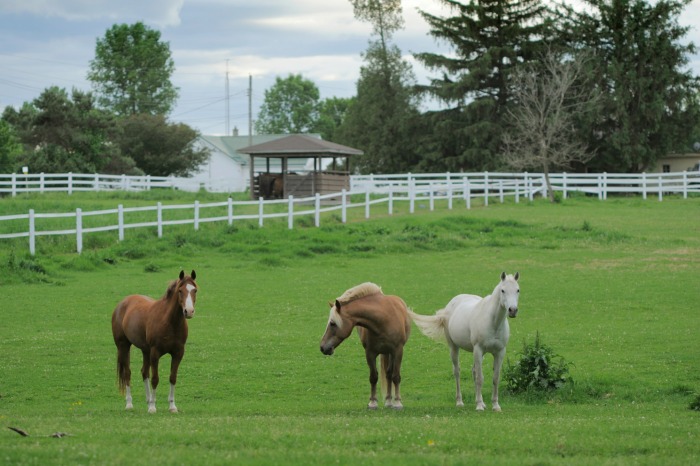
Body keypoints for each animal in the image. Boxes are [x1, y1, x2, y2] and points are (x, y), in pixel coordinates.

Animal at [110, 272, 197, 414]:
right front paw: (152, 407)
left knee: (144, 372)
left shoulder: (178, 353)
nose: (188, 311)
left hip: (145, 350)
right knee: (127, 372)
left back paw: (148, 399)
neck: (169, 322)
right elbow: (155, 379)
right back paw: (129, 404)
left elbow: (172, 377)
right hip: (123, 346)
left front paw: (172, 406)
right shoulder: (155, 353)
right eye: (180, 291)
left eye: (194, 290)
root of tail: (122, 304)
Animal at [318, 282, 410, 410]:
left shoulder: (398, 351)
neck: (383, 320)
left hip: (391, 353)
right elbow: (373, 377)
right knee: (387, 374)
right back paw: (388, 401)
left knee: (390, 374)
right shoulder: (370, 353)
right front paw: (372, 402)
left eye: (332, 323)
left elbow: (396, 376)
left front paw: (397, 402)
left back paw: (390, 401)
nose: (322, 347)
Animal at [410, 274, 520, 412]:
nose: (512, 310)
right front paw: (479, 406)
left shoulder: (500, 352)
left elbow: (495, 378)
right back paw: (460, 402)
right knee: (457, 372)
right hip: (454, 347)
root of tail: (449, 305)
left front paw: (495, 405)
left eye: (518, 290)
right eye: (503, 290)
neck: (493, 322)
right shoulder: (478, 349)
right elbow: (479, 378)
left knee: (474, 371)